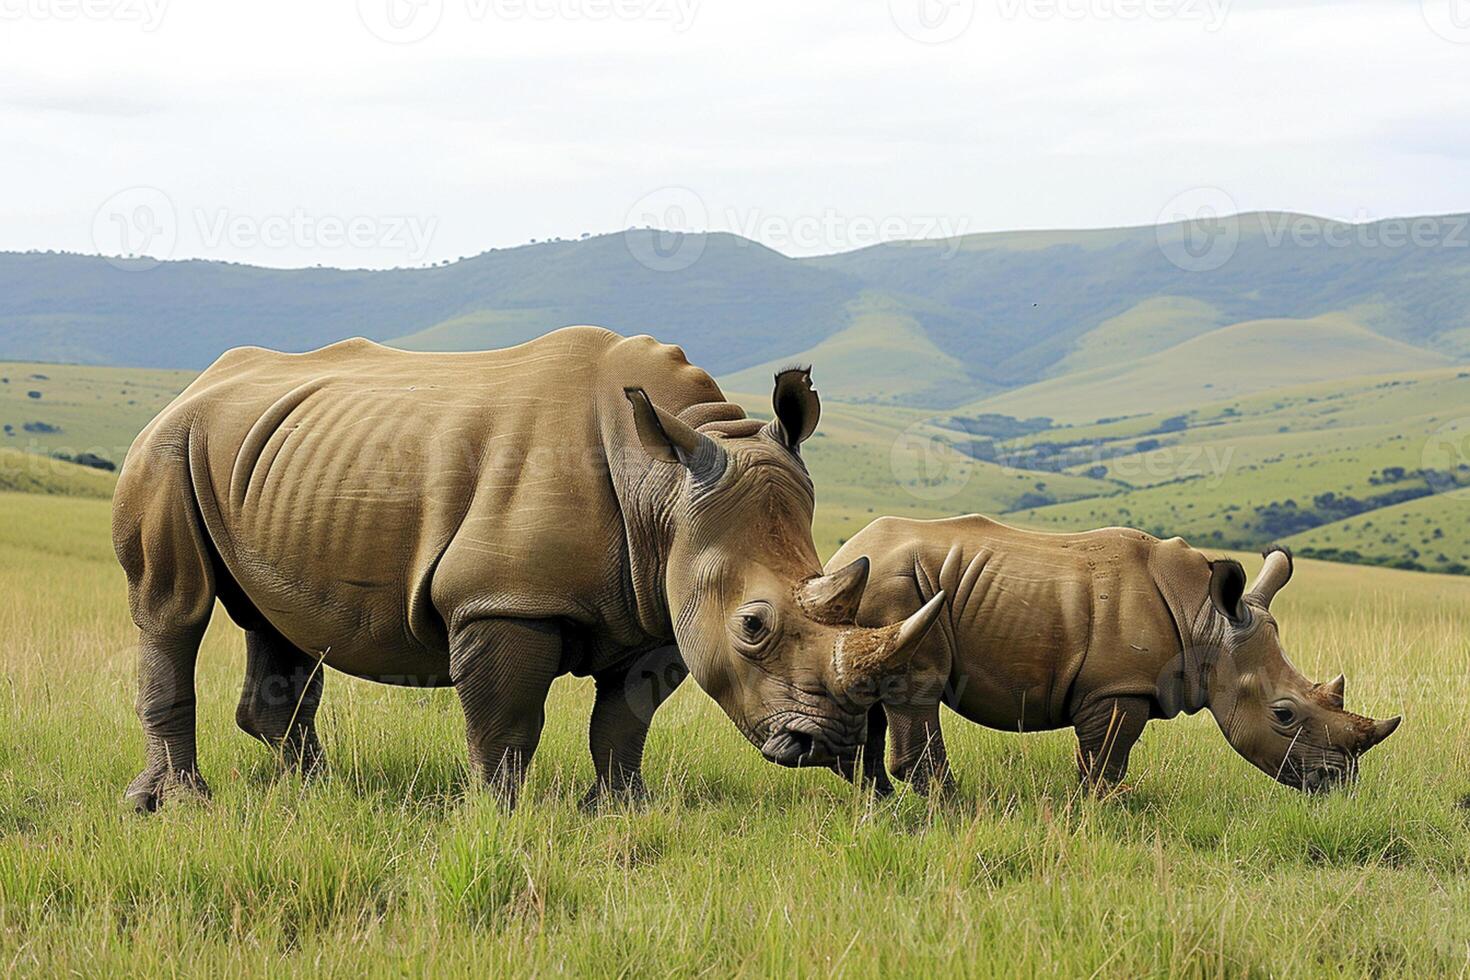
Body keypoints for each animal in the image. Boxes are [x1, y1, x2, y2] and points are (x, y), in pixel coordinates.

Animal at [114, 326, 940, 811]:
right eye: (754, 626)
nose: (831, 743)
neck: (666, 485)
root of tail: (195, 382)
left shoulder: (657, 607)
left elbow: (624, 720)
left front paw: (621, 809)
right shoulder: (502, 598)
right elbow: (507, 721)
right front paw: (496, 816)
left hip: (267, 460)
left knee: (279, 624)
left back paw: (321, 796)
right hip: (167, 444)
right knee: (173, 609)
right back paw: (177, 806)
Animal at [829, 517, 1399, 793]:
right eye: (1283, 714)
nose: (1339, 784)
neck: (1207, 622)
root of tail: (845, 554)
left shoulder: (1117, 686)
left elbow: (1101, 760)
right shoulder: (1118, 686)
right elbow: (1105, 762)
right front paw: (1094, 815)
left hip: (880, 595)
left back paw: (881, 806)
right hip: (899, 590)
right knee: (914, 688)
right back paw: (955, 810)